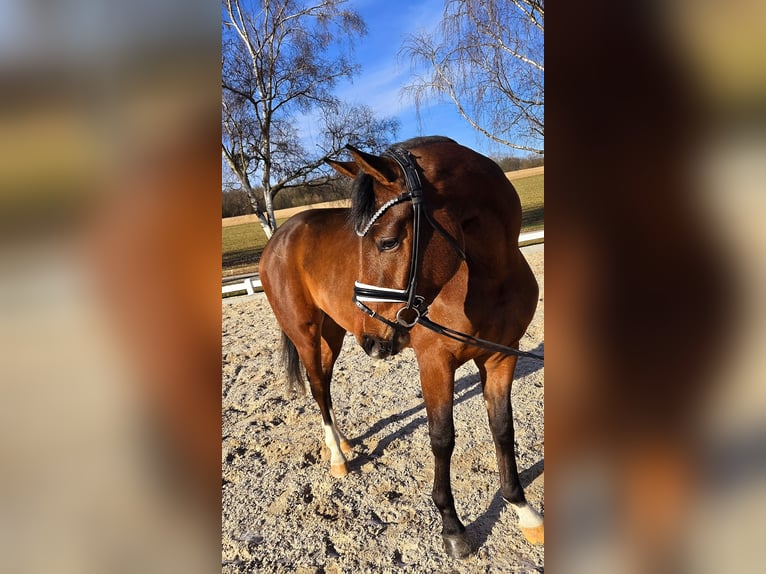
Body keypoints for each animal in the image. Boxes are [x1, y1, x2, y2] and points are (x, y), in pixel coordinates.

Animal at [260, 135, 544, 560]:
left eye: (387, 241)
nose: (373, 340)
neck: (490, 275)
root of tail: (281, 235)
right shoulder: (435, 362)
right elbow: (442, 438)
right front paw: (452, 527)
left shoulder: (502, 355)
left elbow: (503, 429)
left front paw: (523, 510)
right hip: (305, 332)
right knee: (317, 386)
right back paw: (338, 457)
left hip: (333, 333)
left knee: (324, 382)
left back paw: (342, 442)